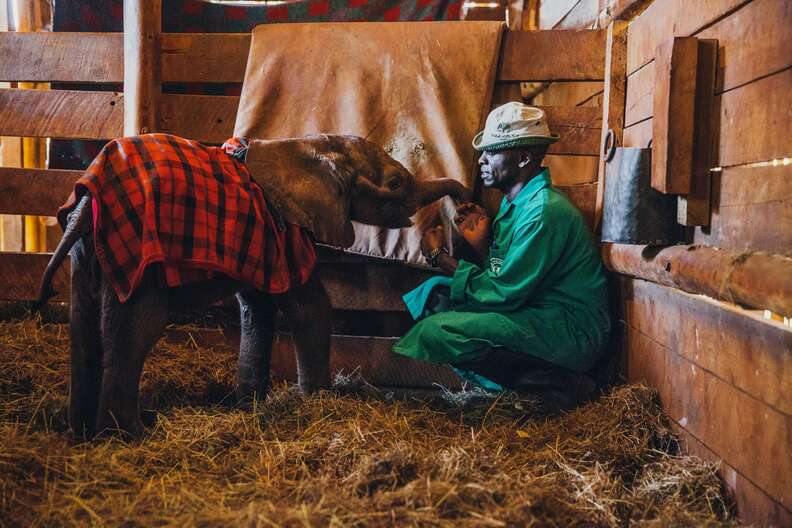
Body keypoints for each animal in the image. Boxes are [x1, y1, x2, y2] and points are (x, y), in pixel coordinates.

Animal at [37, 134, 468, 440]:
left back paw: (80, 433)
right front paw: (318, 401)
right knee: (134, 331)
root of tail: (88, 196)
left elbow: (257, 306)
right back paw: (130, 435)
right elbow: (308, 305)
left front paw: (250, 405)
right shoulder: (290, 230)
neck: (311, 144)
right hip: (140, 263)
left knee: (84, 327)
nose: (464, 205)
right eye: (396, 182)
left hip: (88, 254)